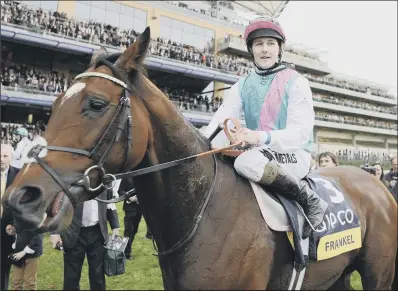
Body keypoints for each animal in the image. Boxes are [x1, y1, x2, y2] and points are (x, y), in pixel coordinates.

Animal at [2, 26, 394, 290]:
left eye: (96, 104)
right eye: (54, 103)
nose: (22, 198)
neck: (202, 211)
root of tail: (376, 184)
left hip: (378, 273)